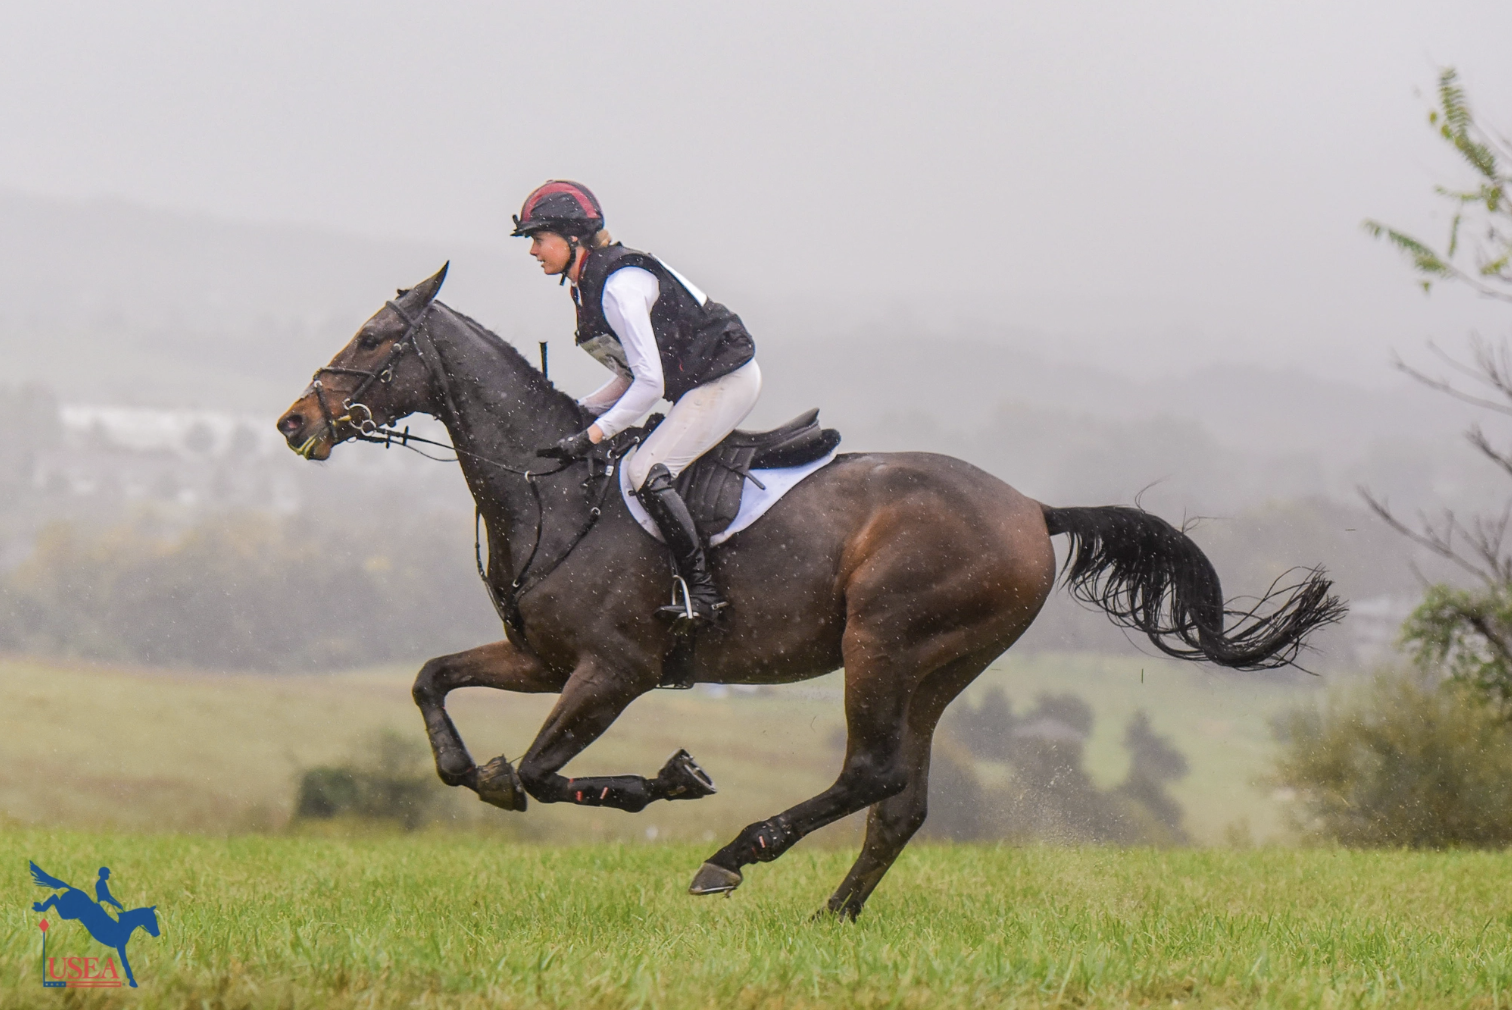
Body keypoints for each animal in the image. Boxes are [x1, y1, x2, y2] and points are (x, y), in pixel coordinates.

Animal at [278, 264, 1342, 919]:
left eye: (374, 337)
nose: (294, 423)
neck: (553, 488)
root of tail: (1033, 508)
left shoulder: (614, 670)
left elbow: (541, 774)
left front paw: (670, 780)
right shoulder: (543, 659)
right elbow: (432, 683)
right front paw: (476, 772)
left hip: (885, 644)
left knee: (870, 773)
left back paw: (737, 855)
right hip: (935, 671)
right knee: (901, 799)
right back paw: (833, 913)